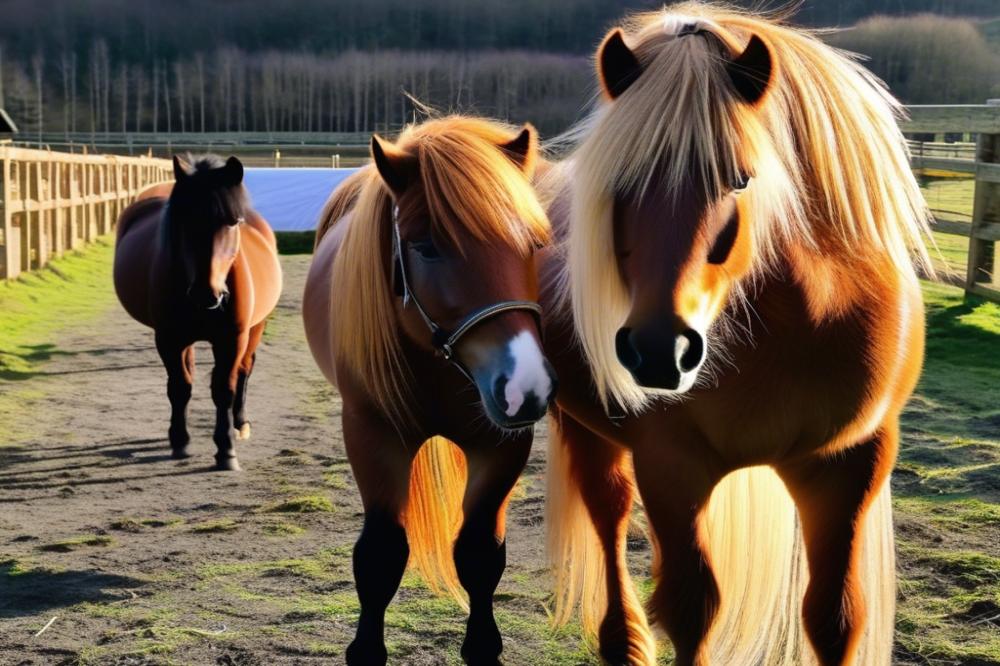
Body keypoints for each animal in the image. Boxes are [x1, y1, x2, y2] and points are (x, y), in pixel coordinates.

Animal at [115, 154, 284, 472]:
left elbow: (225, 389)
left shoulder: (232, 339)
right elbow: (180, 386)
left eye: (232, 222)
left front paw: (226, 451)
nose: (207, 293)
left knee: (244, 370)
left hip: (256, 328)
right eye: (184, 222)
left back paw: (240, 424)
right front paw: (180, 440)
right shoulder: (169, 338)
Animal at [300, 116, 560, 660]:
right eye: (426, 246)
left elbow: (480, 554)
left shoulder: (501, 445)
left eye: (534, 244)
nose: (525, 384)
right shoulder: (373, 436)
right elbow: (379, 557)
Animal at [540, 2, 928, 660]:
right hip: (586, 427)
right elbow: (694, 610)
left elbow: (836, 618)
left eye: (741, 180)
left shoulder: (852, 464)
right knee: (608, 514)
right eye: (621, 185)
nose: (658, 351)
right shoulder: (671, 468)